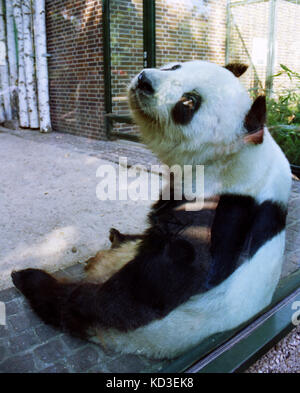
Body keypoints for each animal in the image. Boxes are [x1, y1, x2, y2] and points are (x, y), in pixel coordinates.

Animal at [11, 60, 290, 358]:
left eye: (189, 101)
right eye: (175, 66)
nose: (145, 80)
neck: (237, 157)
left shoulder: (222, 213)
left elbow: (155, 286)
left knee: (78, 305)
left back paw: (31, 279)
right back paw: (117, 238)